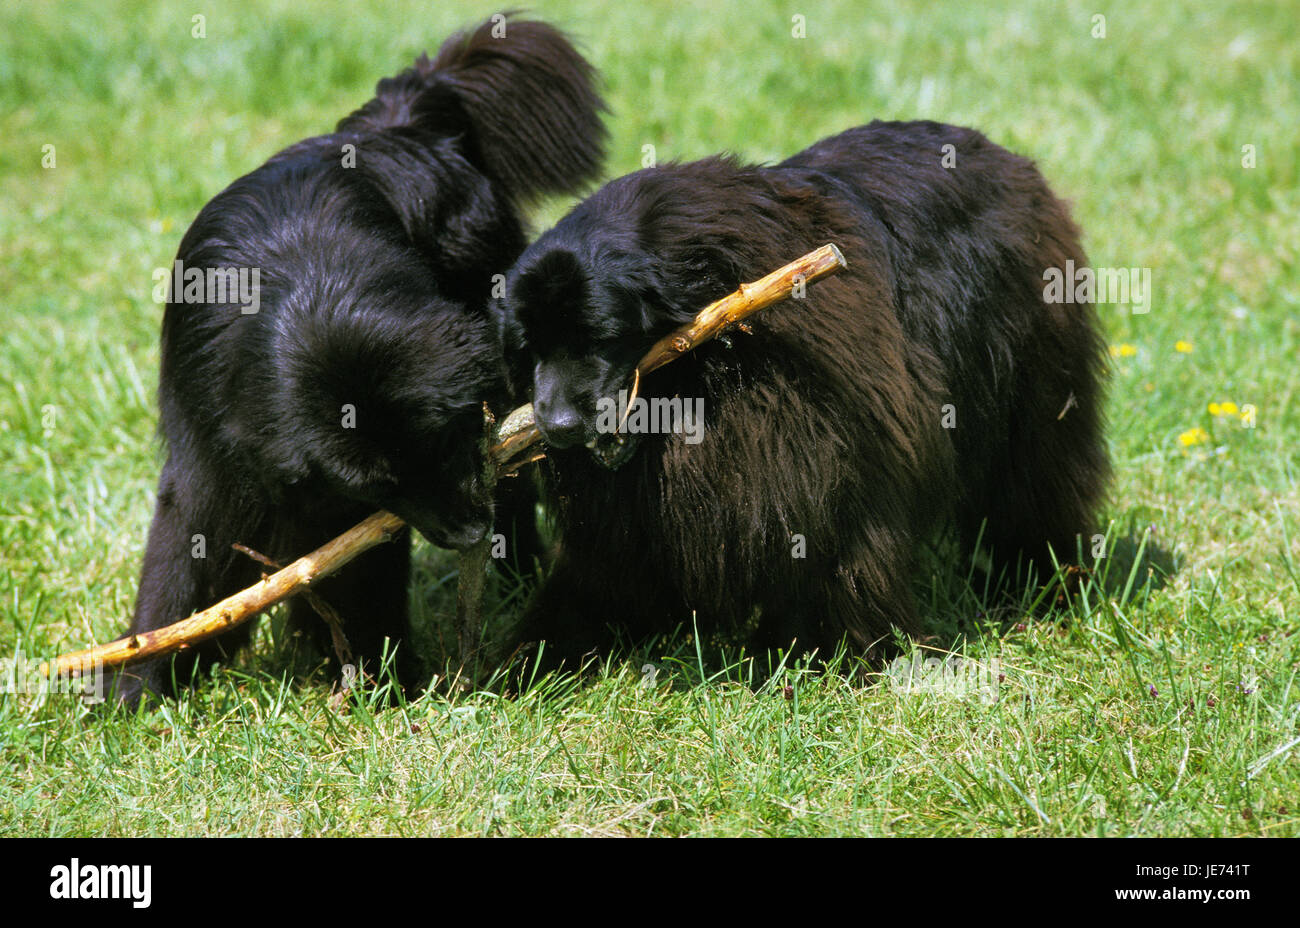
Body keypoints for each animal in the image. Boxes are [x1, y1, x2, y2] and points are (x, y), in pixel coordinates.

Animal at [109, 16, 605, 701]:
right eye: (380, 483)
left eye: (444, 444)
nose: (465, 534)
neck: (308, 291)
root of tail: (397, 121)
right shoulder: (213, 457)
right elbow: (182, 562)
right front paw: (136, 692)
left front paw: (388, 683)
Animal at [496, 120, 1107, 665]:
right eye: (529, 348)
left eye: (598, 336)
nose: (557, 426)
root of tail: (1000, 154)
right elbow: (597, 584)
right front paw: (526, 662)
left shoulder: (832, 457)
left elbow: (835, 553)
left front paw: (809, 656)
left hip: (1033, 386)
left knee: (1033, 483)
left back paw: (1042, 584)